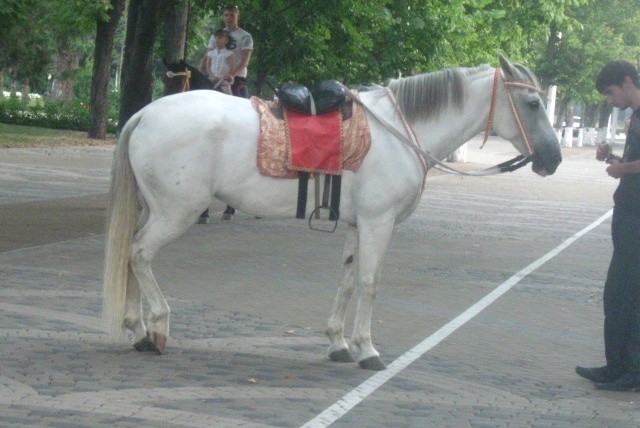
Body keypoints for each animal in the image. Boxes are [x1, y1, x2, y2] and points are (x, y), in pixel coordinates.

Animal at [103, 55, 562, 371]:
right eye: (532, 103)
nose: (553, 160)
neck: (399, 132)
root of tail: (145, 113)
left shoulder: (359, 225)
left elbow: (347, 281)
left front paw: (339, 344)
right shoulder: (379, 224)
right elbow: (369, 283)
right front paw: (368, 350)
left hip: (154, 209)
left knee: (128, 254)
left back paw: (136, 329)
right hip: (175, 213)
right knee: (139, 255)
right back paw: (157, 328)